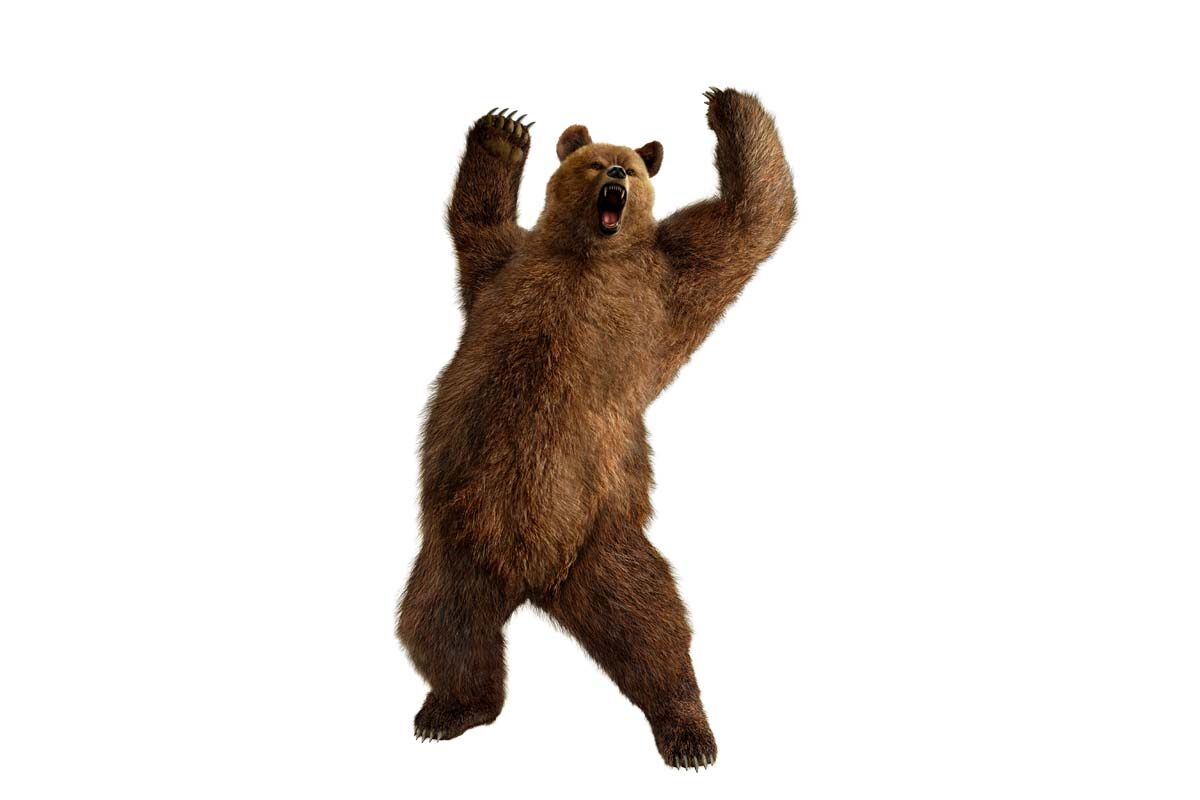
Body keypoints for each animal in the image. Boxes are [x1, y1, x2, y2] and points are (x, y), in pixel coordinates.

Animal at [397, 88, 795, 769]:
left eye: (630, 167)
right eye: (592, 162)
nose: (615, 177)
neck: (588, 252)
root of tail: (531, 580)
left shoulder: (663, 280)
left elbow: (748, 220)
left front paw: (726, 105)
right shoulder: (505, 270)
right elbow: (477, 228)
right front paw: (505, 132)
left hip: (602, 541)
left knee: (653, 625)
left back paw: (687, 731)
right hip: (456, 548)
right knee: (440, 627)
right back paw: (450, 709)